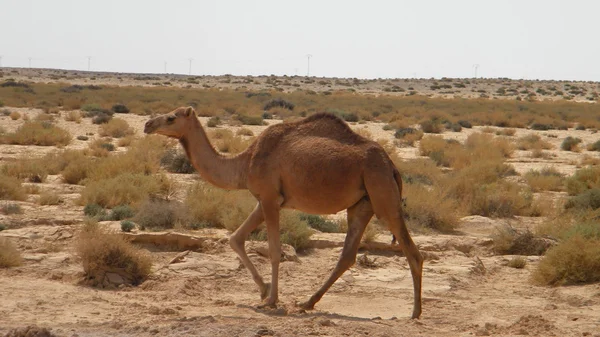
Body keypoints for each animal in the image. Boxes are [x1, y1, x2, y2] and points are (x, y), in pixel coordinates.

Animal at [144, 105, 426, 318]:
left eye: (171, 117)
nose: (147, 124)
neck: (244, 163)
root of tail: (391, 165)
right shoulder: (266, 200)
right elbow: (235, 238)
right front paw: (263, 290)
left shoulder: (269, 198)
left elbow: (274, 251)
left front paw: (271, 299)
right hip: (362, 203)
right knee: (347, 255)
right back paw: (307, 303)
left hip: (382, 194)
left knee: (412, 252)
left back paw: (415, 312)